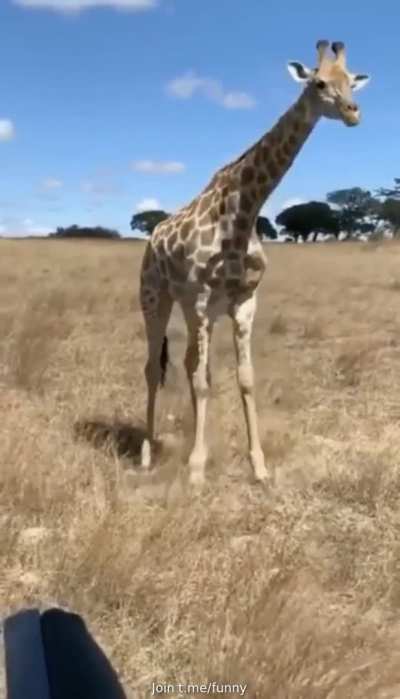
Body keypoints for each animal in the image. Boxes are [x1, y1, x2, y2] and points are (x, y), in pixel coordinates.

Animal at [138, 40, 370, 487]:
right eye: (319, 83)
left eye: (352, 81)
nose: (353, 112)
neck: (244, 212)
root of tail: (152, 236)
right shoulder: (203, 298)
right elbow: (204, 382)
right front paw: (196, 470)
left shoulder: (243, 301)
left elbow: (242, 379)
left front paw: (258, 467)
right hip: (156, 298)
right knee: (152, 367)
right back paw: (146, 453)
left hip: (195, 310)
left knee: (190, 364)